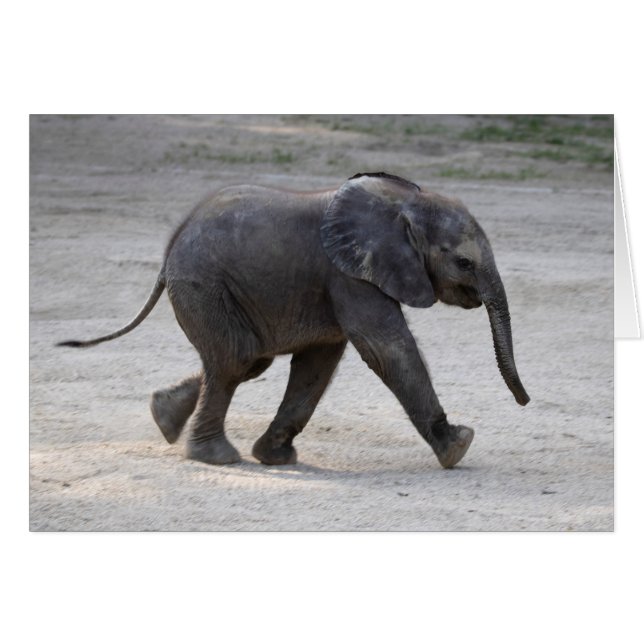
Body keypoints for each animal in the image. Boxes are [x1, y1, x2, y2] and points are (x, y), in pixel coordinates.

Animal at [59, 172, 530, 469]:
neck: (405, 203)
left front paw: (276, 457)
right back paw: (217, 458)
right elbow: (385, 348)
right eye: (464, 262)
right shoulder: (348, 275)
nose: (525, 402)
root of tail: (169, 249)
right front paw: (459, 447)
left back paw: (163, 416)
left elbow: (319, 363)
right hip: (203, 284)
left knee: (246, 361)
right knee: (236, 359)